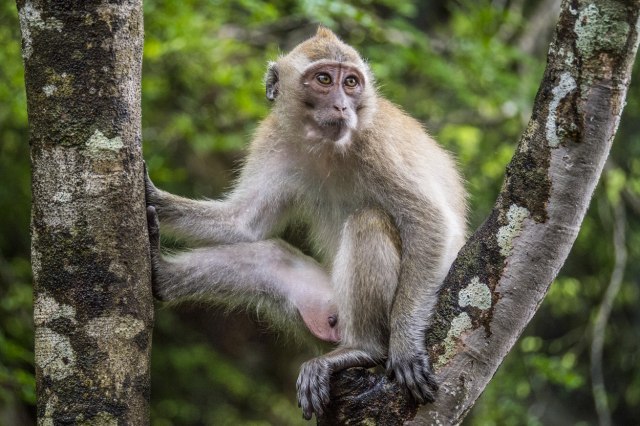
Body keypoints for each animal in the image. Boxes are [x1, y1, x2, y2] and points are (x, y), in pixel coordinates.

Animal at [145, 27, 464, 422]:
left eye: (351, 82)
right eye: (324, 79)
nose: (342, 106)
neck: (327, 144)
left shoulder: (378, 143)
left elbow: (429, 222)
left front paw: (405, 345)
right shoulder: (274, 138)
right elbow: (244, 224)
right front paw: (152, 195)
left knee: (368, 221)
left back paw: (365, 348)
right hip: (323, 302)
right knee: (267, 257)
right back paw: (162, 275)